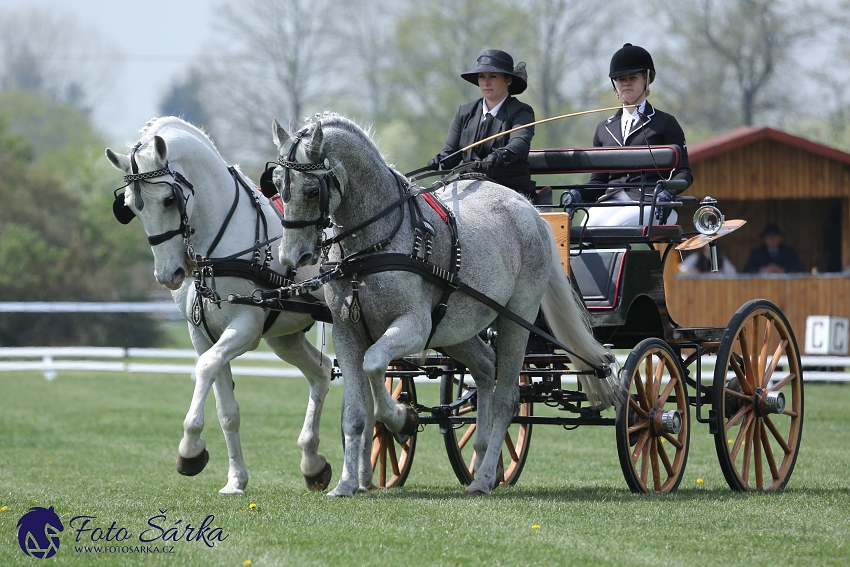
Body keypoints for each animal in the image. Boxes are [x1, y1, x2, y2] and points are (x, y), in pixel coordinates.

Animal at [105, 117, 332, 494]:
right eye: (131, 207)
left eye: (169, 199)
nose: (169, 274)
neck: (215, 249)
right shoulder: (203, 333)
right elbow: (227, 409)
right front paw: (235, 480)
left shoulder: (246, 326)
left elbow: (206, 367)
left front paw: (189, 449)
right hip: (285, 337)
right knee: (322, 371)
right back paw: (313, 462)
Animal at [270, 115, 616, 496]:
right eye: (277, 184)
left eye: (312, 191)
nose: (291, 257)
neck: (373, 246)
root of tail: (529, 211)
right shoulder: (347, 333)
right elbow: (355, 413)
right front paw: (346, 483)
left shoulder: (415, 327)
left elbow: (374, 364)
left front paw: (400, 418)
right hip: (456, 330)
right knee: (485, 369)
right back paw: (481, 457)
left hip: (516, 319)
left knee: (507, 397)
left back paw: (483, 478)